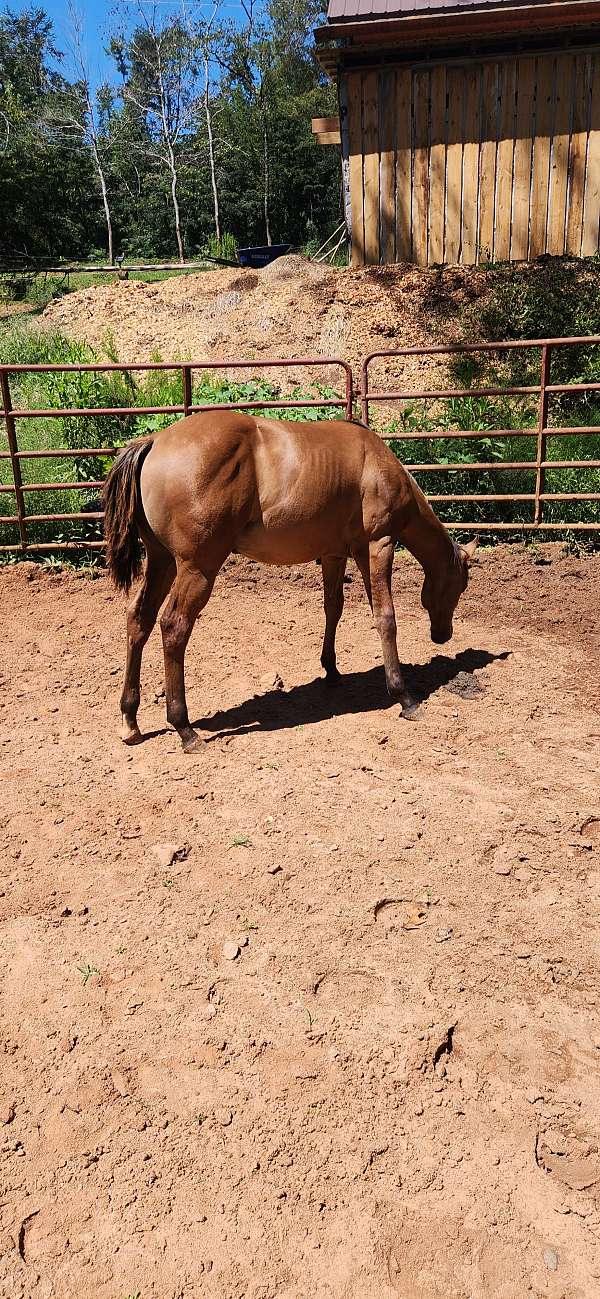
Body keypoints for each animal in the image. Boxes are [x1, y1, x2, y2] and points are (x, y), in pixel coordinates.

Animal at [103, 411, 477, 752]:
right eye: (460, 586)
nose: (443, 635)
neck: (378, 465)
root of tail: (154, 442)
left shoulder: (334, 554)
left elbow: (333, 608)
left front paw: (332, 670)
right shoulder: (377, 545)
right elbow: (385, 617)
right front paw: (404, 696)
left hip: (162, 562)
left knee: (139, 619)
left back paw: (130, 721)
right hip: (197, 569)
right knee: (173, 626)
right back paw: (184, 728)